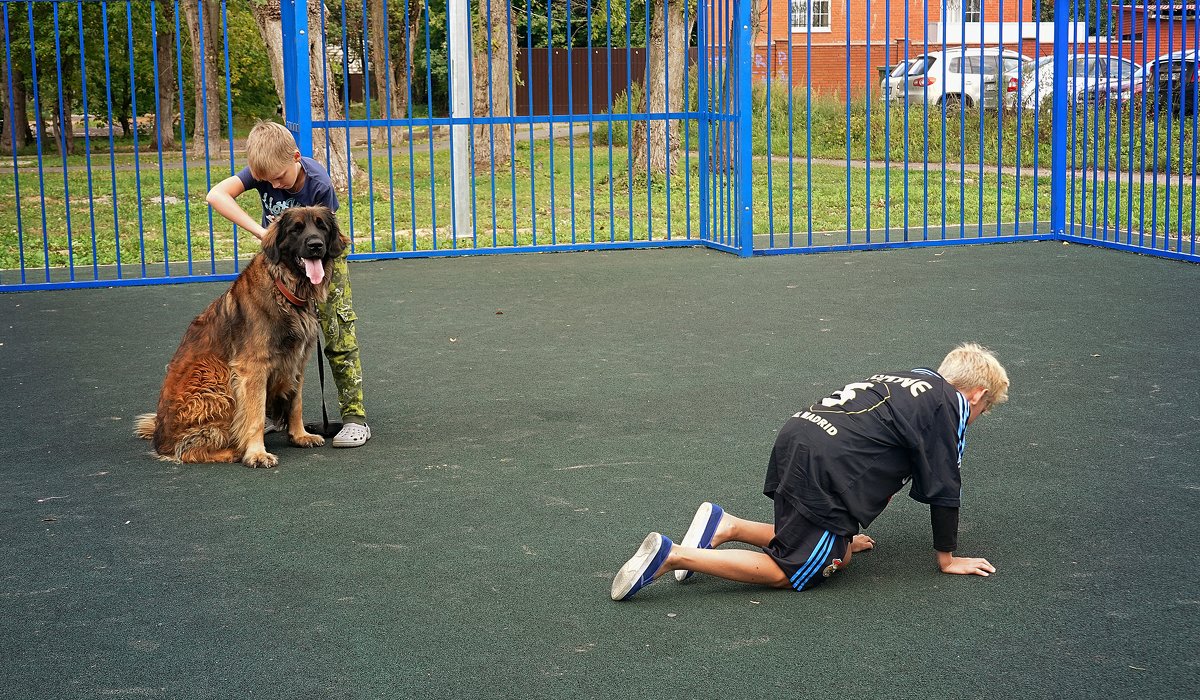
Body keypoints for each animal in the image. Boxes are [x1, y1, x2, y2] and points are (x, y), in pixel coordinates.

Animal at [141, 205, 350, 468]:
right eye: (296, 229)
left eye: (321, 226)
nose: (315, 245)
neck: (284, 288)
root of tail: (160, 440)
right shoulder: (253, 367)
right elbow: (255, 415)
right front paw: (256, 453)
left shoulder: (297, 361)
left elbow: (296, 404)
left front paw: (300, 435)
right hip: (213, 375)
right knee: (186, 450)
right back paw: (230, 452)